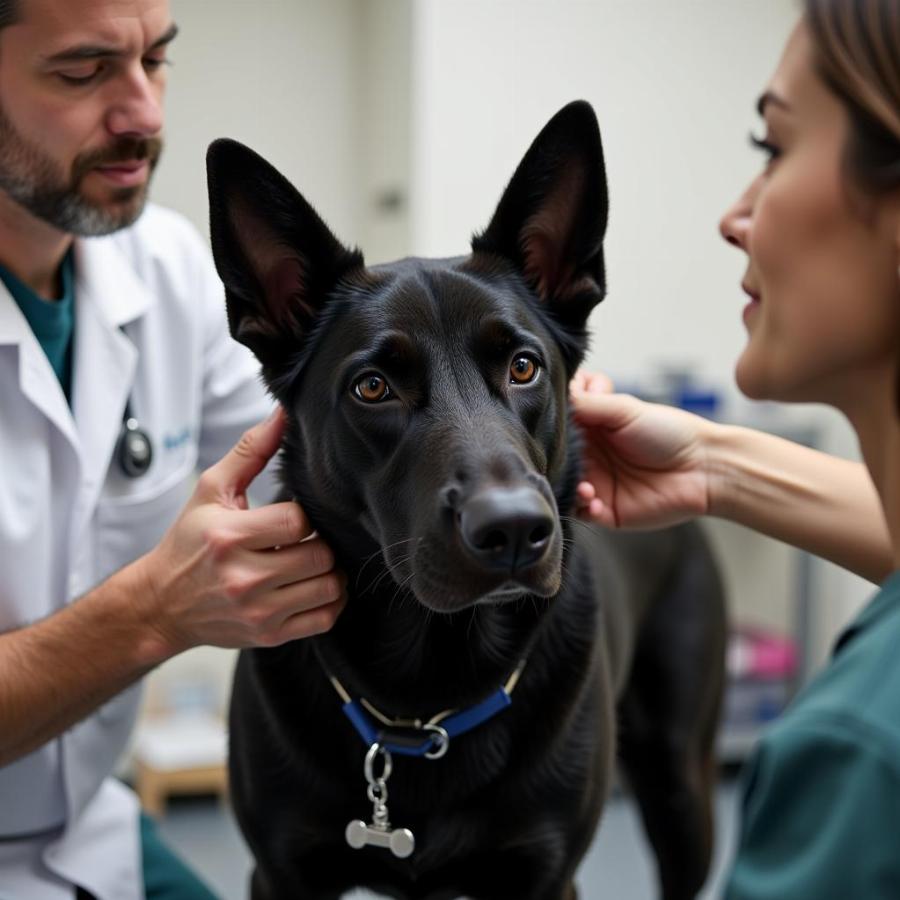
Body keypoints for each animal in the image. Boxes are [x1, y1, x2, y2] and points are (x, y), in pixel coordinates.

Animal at [204, 100, 724, 900]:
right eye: (373, 387)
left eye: (523, 366)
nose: (513, 532)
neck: (426, 693)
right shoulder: (282, 873)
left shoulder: (545, 876)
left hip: (679, 782)